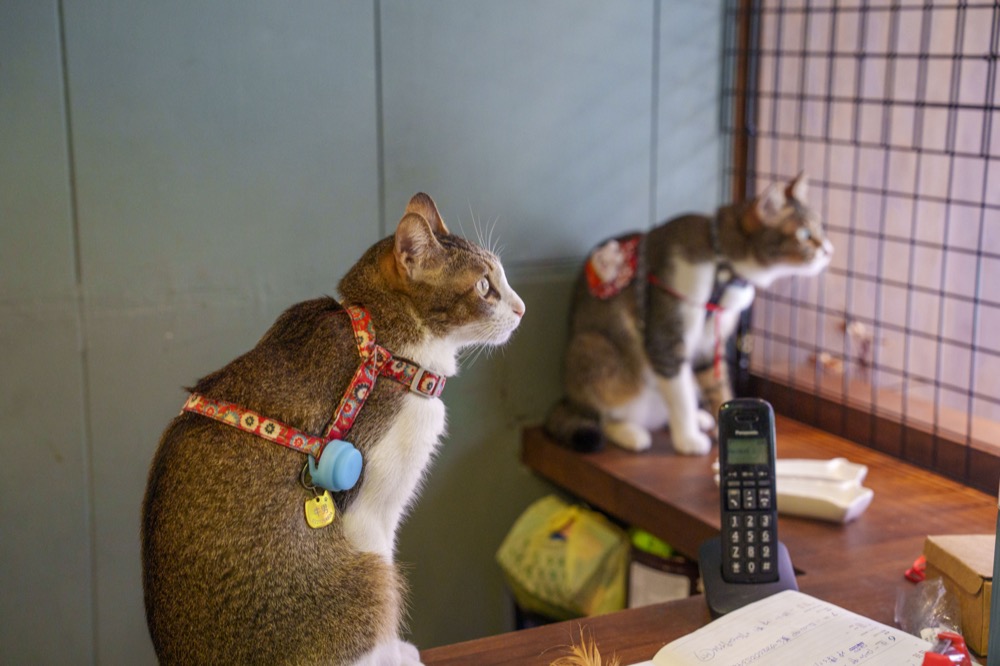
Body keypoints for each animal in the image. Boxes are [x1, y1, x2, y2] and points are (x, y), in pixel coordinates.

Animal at [145, 191, 528, 660]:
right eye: (484, 287)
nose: (522, 308)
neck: (386, 348)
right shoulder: (369, 514)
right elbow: (385, 610)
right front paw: (396, 656)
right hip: (363, 581)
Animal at [544, 174, 832, 454]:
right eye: (805, 233)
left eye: (821, 227)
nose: (829, 250)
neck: (723, 266)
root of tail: (568, 399)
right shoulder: (666, 337)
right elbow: (680, 394)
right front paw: (688, 440)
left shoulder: (709, 344)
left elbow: (718, 387)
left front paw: (725, 425)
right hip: (592, 349)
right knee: (604, 414)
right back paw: (632, 433)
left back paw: (699, 418)